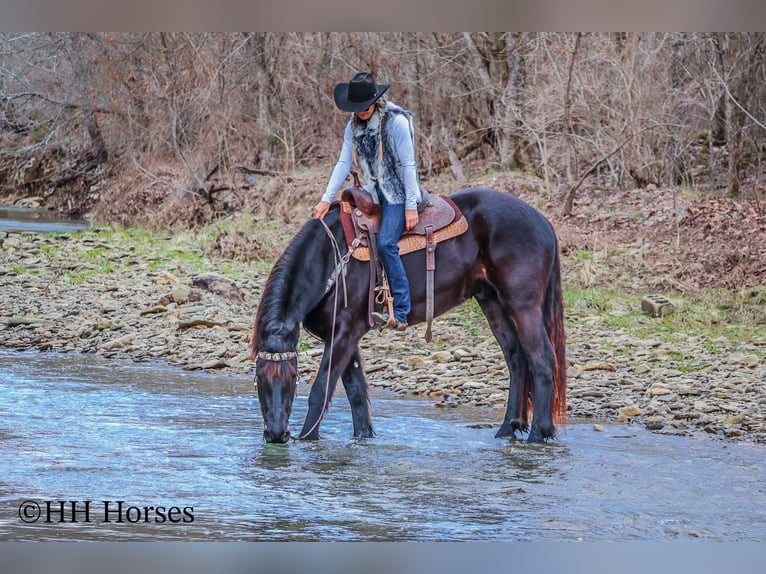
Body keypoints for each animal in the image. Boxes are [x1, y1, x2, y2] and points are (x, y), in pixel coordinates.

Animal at [249, 189, 568, 446]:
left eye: (292, 377)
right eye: (259, 378)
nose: (276, 435)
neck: (332, 258)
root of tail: (543, 222)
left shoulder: (344, 331)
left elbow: (321, 390)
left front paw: (307, 438)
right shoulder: (342, 335)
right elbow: (355, 391)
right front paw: (364, 437)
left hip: (523, 305)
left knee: (541, 359)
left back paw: (538, 434)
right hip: (492, 302)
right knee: (516, 360)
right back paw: (507, 429)